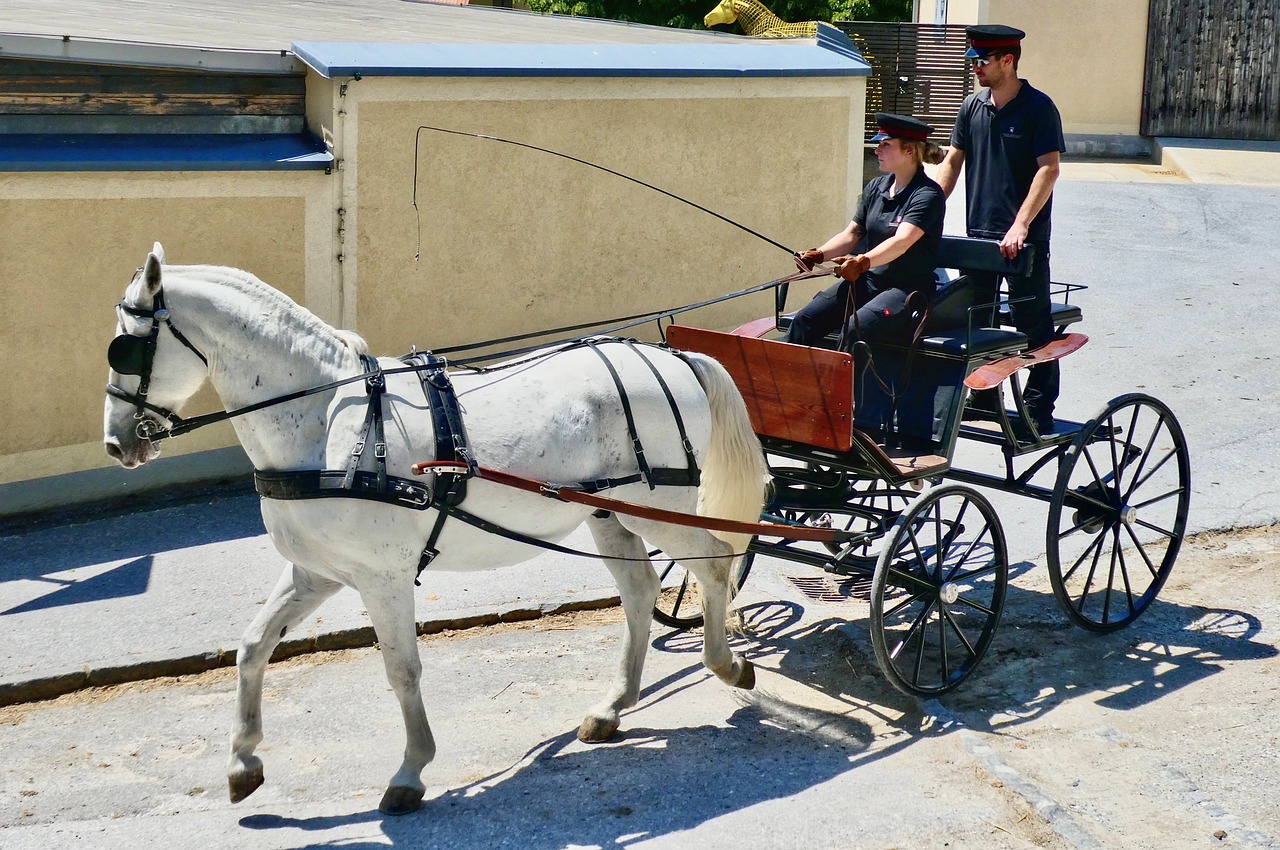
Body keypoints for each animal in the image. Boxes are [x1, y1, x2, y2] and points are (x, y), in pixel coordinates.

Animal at [104, 241, 762, 814]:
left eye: (126, 348)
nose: (117, 444)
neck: (327, 422)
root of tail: (673, 358)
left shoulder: (383, 577)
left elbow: (402, 669)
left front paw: (411, 770)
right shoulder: (317, 572)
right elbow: (252, 646)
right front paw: (243, 760)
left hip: (661, 505)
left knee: (713, 563)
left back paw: (726, 662)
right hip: (609, 513)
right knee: (641, 590)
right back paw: (614, 705)